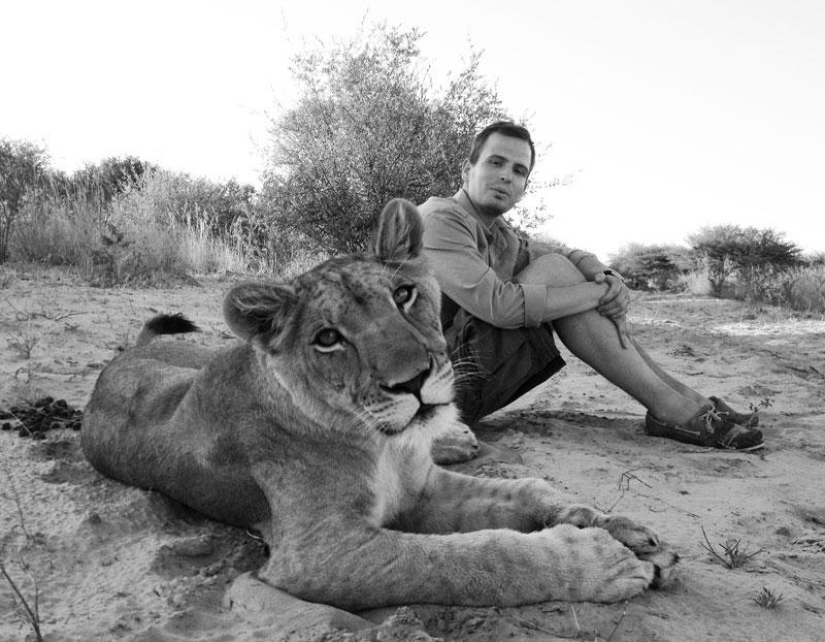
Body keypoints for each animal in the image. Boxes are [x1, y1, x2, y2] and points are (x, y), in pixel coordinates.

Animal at [81, 198, 678, 610]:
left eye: (403, 296)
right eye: (328, 339)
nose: (413, 381)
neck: (382, 446)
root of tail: (119, 359)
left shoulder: (424, 487)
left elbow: (528, 492)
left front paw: (619, 528)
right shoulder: (318, 556)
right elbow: (470, 559)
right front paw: (600, 559)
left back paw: (457, 438)